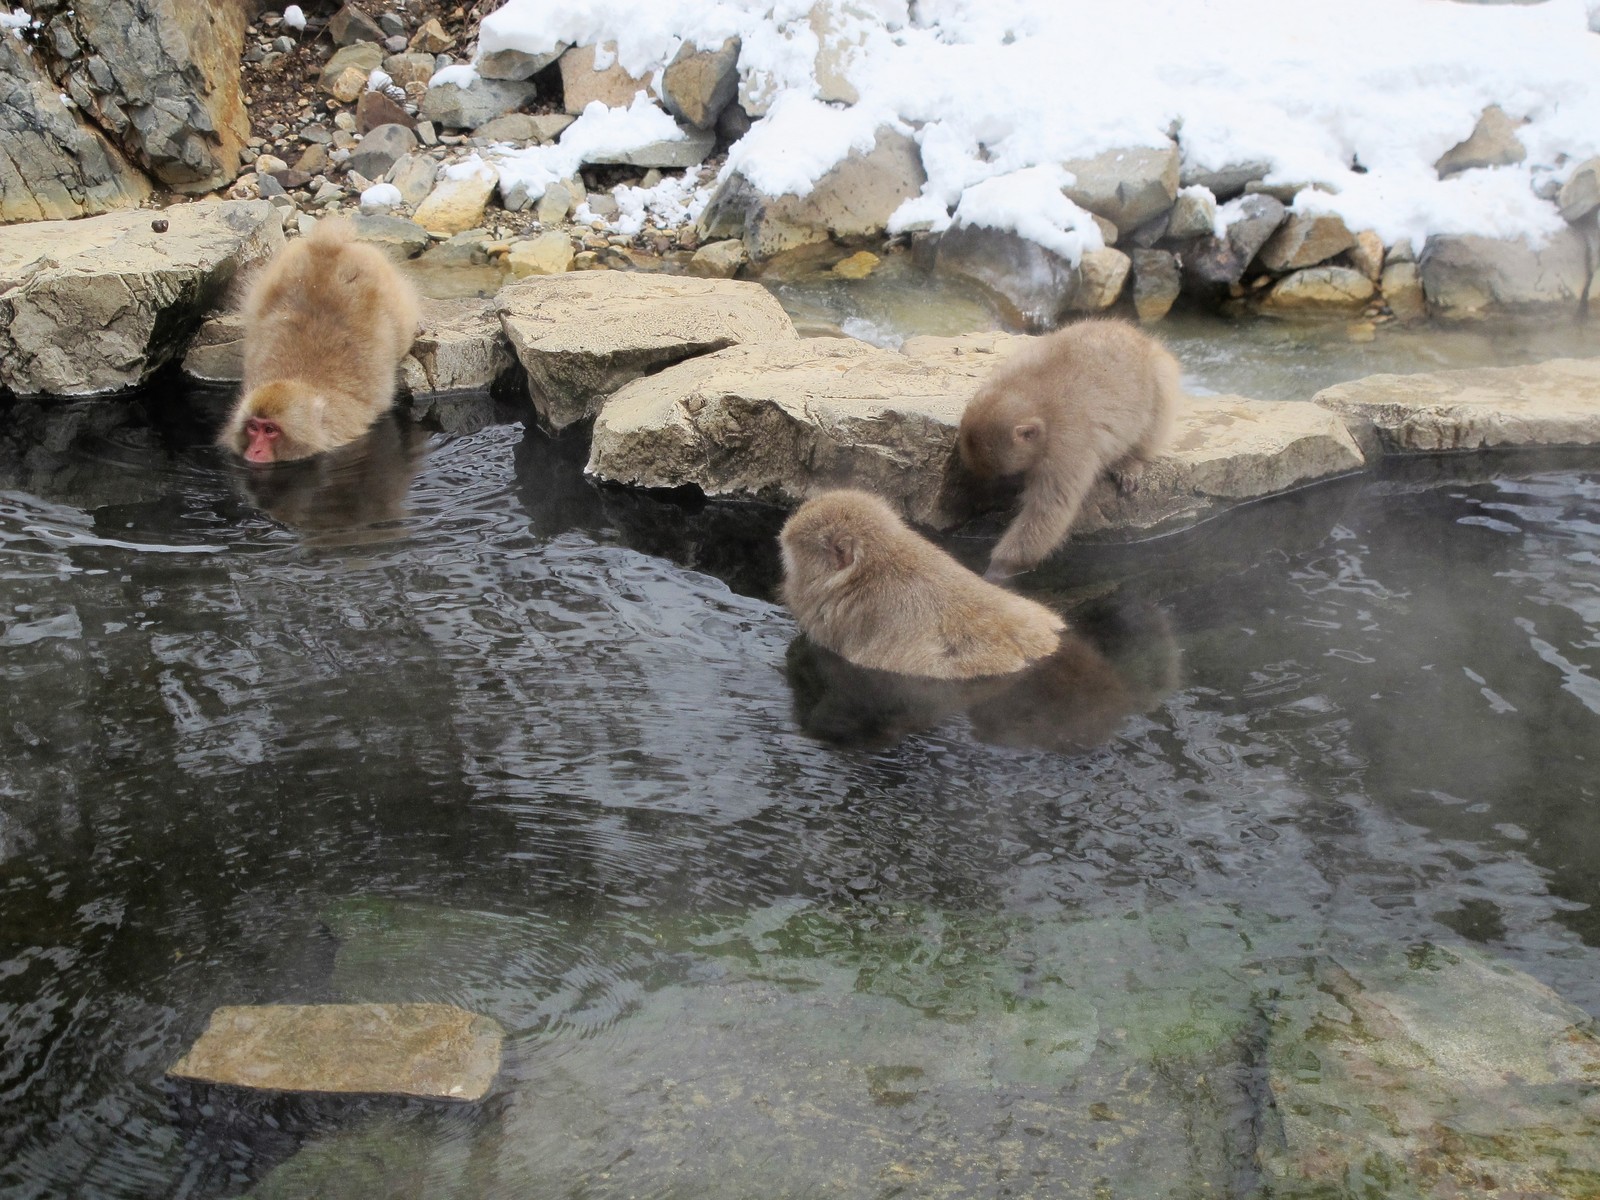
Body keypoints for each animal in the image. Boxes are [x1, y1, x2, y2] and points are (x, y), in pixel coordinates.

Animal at [953, 320, 1184, 582]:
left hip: (1160, 375)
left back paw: (1130, 461)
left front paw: (997, 570)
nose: (992, 498)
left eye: (1007, 477)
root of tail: (1141, 337)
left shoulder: (1065, 447)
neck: (1031, 397)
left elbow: (1048, 511)